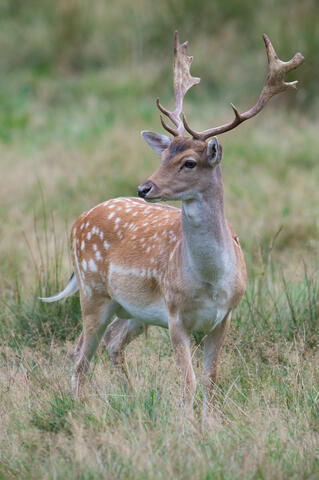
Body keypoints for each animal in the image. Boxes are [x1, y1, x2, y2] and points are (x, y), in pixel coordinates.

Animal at [40, 31, 304, 414]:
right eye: (163, 155)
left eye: (189, 162)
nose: (144, 187)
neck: (209, 281)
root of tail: (79, 220)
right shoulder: (174, 313)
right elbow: (188, 382)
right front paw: (186, 422)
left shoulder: (225, 316)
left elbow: (210, 380)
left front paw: (208, 422)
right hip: (92, 293)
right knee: (80, 357)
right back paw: (79, 409)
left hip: (131, 310)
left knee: (109, 343)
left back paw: (130, 398)